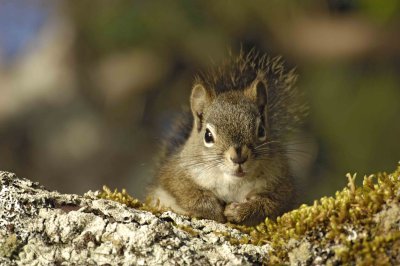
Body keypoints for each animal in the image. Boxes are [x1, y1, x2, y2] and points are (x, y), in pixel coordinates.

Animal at [147, 50, 306, 227]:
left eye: (261, 130)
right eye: (208, 136)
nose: (239, 157)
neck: (233, 182)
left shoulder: (283, 185)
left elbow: (271, 203)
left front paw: (240, 211)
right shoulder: (175, 173)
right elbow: (186, 192)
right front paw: (214, 209)